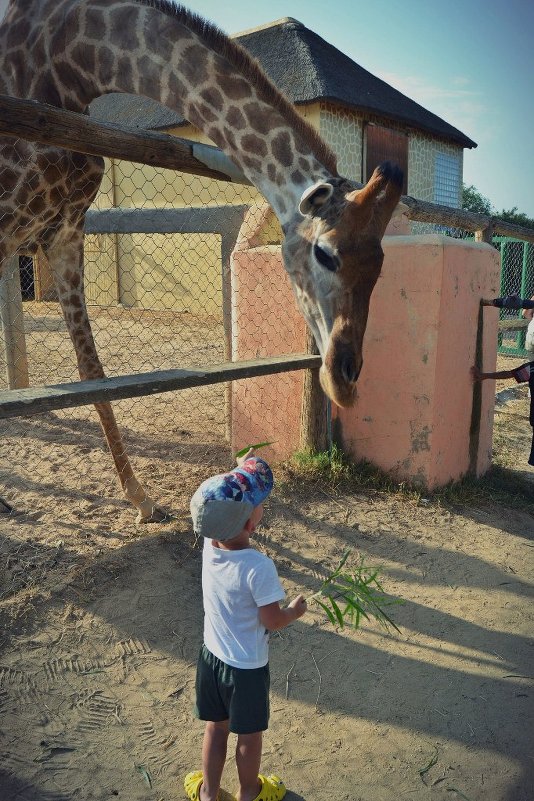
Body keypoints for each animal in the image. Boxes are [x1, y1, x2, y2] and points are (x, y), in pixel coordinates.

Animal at [0, 0, 402, 520]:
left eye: (380, 268)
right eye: (324, 253)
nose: (346, 382)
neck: (68, 61)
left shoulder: (65, 231)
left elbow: (93, 371)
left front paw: (140, 497)